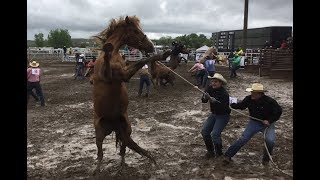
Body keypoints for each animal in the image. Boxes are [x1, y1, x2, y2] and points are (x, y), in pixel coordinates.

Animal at [90, 15, 165, 174]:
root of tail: (114, 124)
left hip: (127, 129)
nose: (151, 46)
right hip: (99, 133)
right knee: (100, 153)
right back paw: (97, 169)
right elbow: (140, 61)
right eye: (135, 31)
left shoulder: (124, 75)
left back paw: (122, 167)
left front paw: (163, 54)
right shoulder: (110, 75)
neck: (114, 54)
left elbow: (142, 60)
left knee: (123, 149)